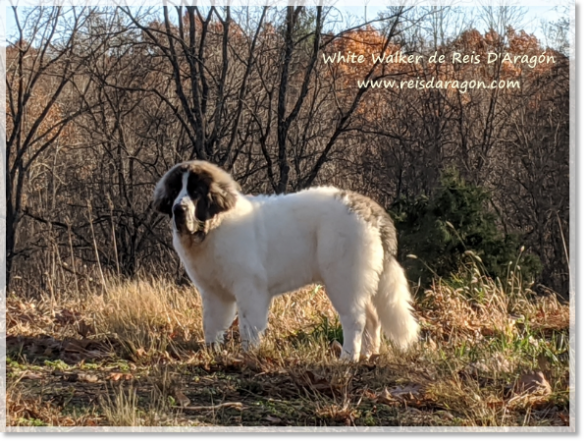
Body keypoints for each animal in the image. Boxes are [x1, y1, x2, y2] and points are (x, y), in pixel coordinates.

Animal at [151, 161, 416, 362]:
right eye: (175, 192)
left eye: (195, 192)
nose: (178, 209)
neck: (212, 227)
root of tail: (370, 209)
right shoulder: (214, 293)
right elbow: (212, 324)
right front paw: (212, 353)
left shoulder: (250, 288)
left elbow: (249, 326)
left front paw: (249, 355)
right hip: (361, 282)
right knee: (373, 319)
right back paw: (369, 356)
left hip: (343, 279)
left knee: (356, 320)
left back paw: (348, 358)